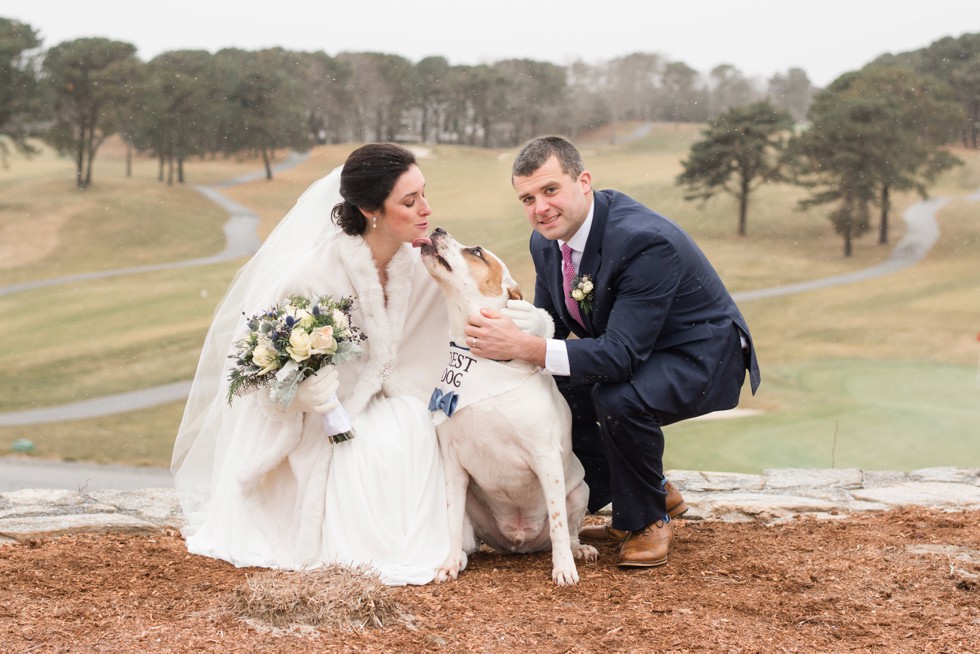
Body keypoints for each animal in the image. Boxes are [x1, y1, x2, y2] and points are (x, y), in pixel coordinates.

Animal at [416, 228, 596, 588]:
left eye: (476, 252)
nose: (438, 230)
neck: (483, 360)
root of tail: (520, 541)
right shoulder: (453, 462)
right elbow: (451, 516)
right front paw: (448, 563)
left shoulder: (545, 458)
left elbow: (558, 522)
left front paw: (564, 568)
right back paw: (461, 556)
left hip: (579, 490)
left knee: (568, 530)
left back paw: (577, 550)